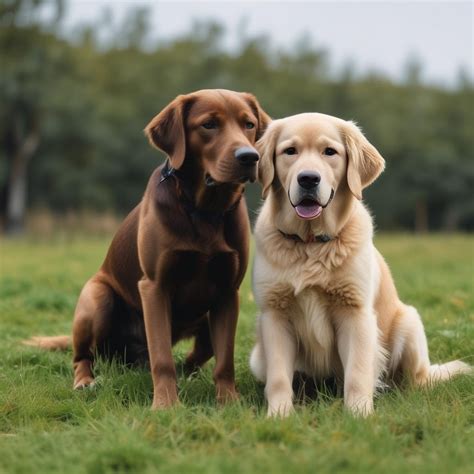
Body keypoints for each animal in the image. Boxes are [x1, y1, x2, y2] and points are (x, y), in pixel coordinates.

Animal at [25, 89, 270, 408]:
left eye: (249, 124)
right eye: (208, 125)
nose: (249, 157)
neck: (204, 210)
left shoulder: (229, 292)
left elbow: (224, 360)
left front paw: (228, 401)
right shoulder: (154, 286)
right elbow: (162, 358)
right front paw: (166, 405)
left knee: (196, 356)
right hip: (97, 298)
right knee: (83, 356)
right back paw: (85, 381)